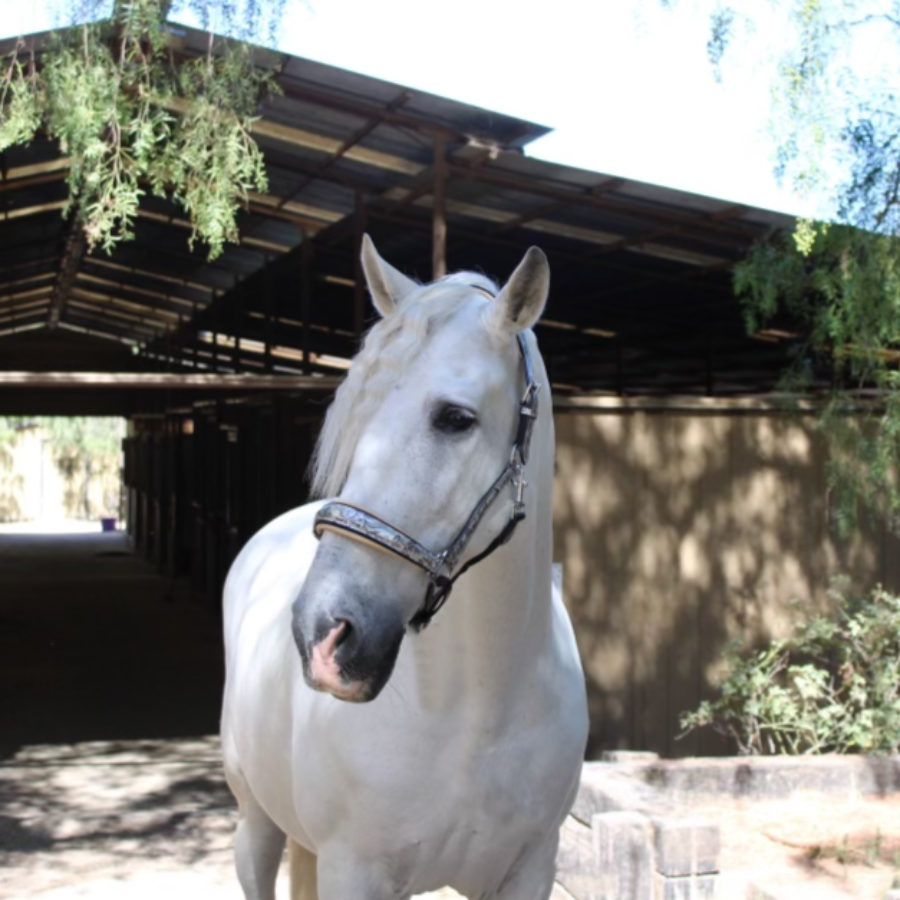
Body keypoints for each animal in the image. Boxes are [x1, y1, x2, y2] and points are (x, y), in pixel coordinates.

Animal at [223, 239, 592, 900]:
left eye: (455, 418)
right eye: (354, 414)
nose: (323, 634)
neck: (478, 712)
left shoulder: (531, 869)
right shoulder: (353, 871)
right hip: (255, 823)